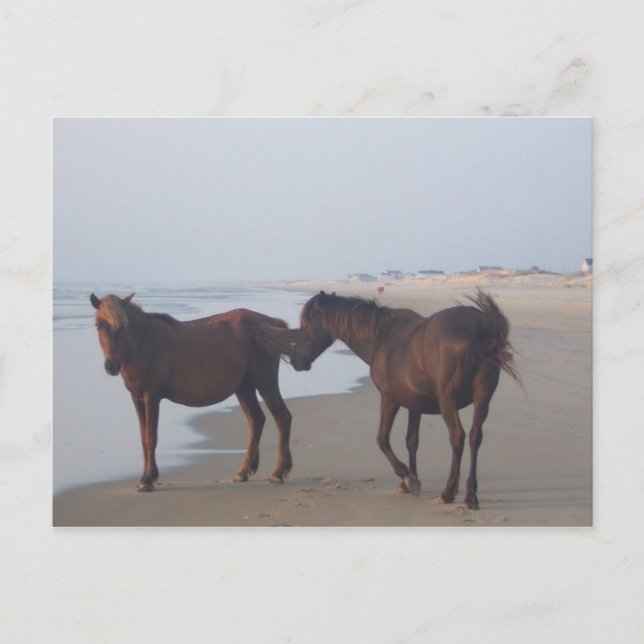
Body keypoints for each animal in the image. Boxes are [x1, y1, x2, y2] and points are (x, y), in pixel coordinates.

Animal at [90, 292, 293, 492]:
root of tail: (271, 322)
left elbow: (150, 437)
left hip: (265, 382)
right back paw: (243, 472)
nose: (111, 366)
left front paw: (148, 479)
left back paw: (278, 472)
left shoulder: (151, 397)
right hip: (244, 387)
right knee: (256, 420)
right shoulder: (137, 398)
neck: (143, 343)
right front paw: (144, 477)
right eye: (99, 325)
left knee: (282, 418)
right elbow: (142, 437)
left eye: (123, 326)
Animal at [265, 288, 522, 510]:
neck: (382, 337)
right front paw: (409, 481)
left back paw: (449, 492)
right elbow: (412, 441)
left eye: (307, 323)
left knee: (457, 438)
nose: (296, 361)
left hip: (447, 402)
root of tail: (481, 326)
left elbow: (382, 439)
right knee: (475, 437)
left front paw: (408, 478)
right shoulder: (414, 405)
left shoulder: (389, 399)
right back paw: (471, 496)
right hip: (483, 398)